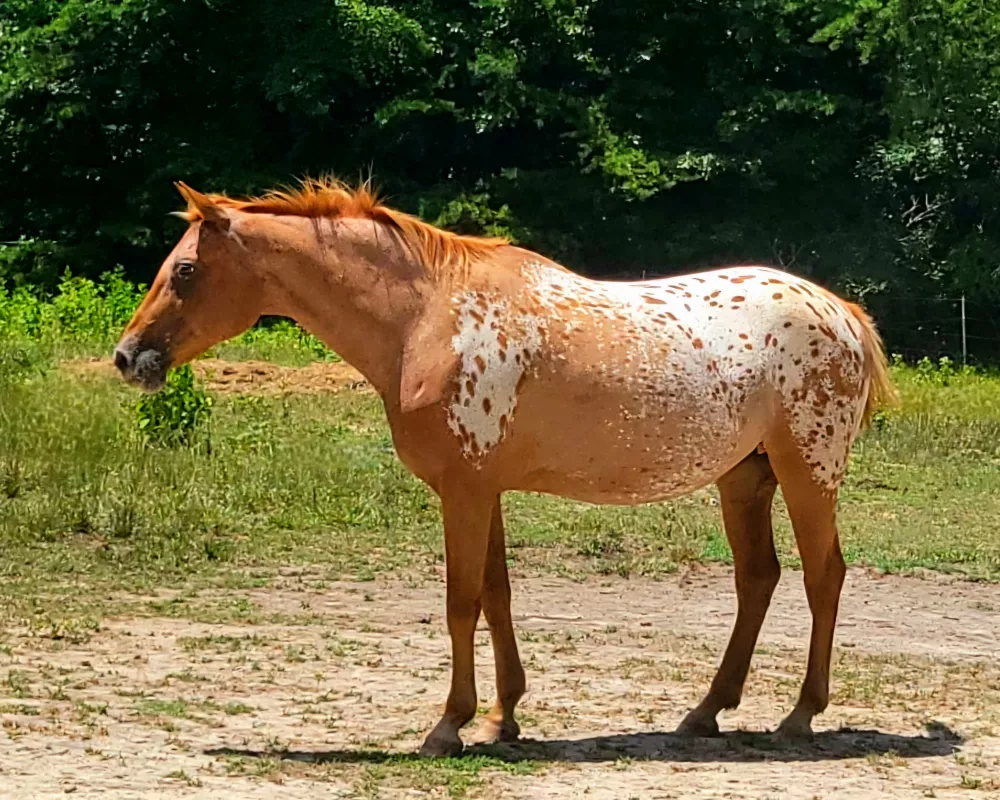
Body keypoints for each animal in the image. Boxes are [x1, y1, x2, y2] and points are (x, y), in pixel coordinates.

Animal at [117, 177, 900, 756]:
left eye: (184, 270)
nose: (128, 358)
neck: (427, 319)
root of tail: (840, 311)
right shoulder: (482, 490)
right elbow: (497, 596)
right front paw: (502, 717)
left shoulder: (462, 491)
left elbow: (461, 602)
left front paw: (448, 725)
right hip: (744, 479)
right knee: (757, 580)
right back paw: (705, 712)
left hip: (807, 474)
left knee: (823, 577)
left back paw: (799, 715)